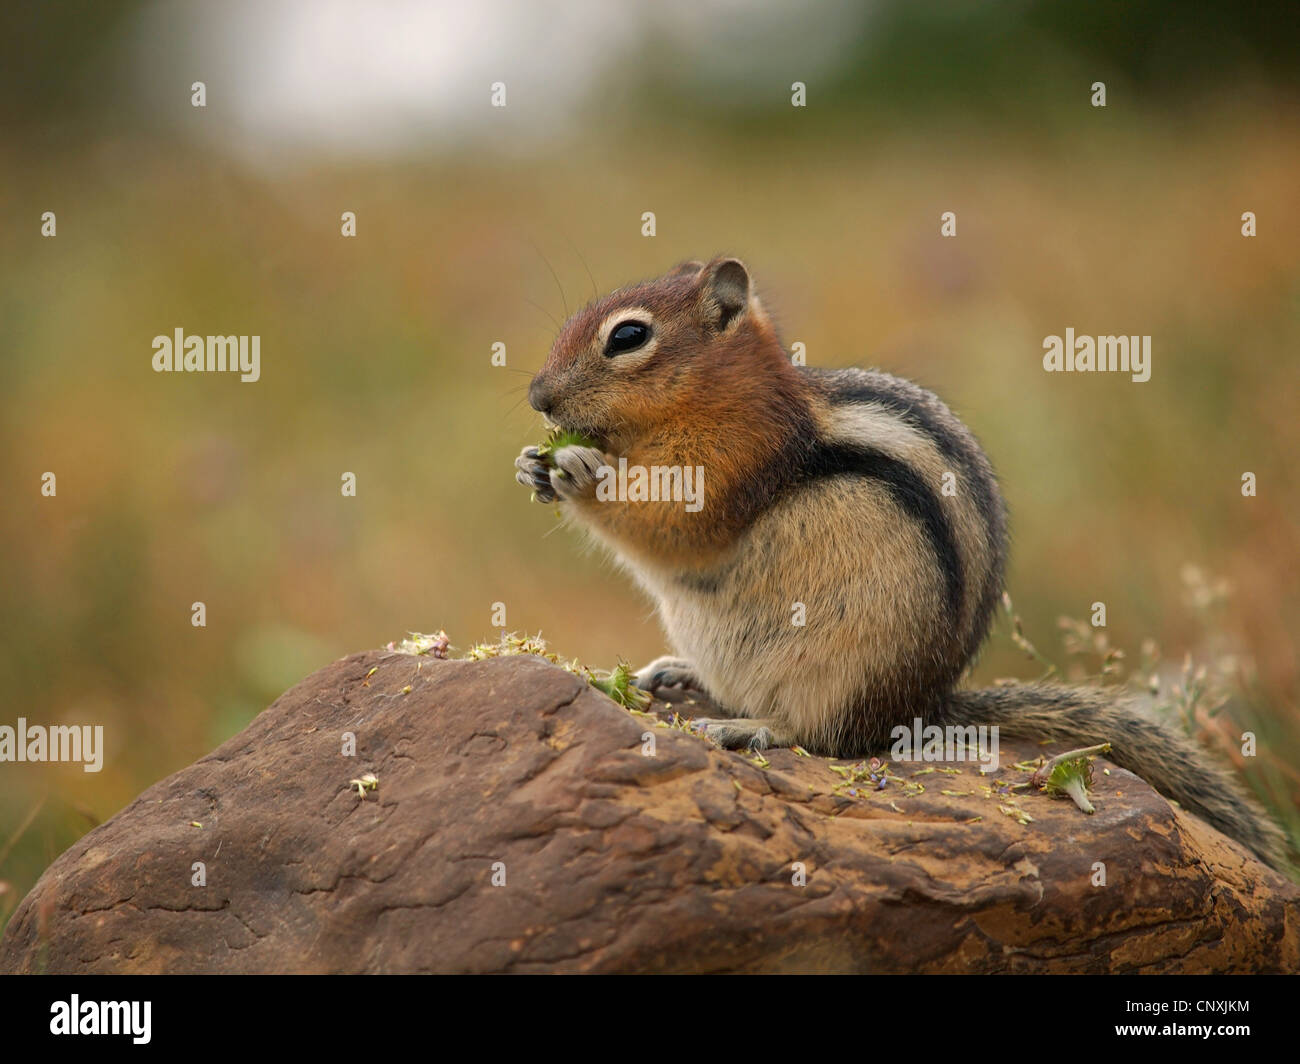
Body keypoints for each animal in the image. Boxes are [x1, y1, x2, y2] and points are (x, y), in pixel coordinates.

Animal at [512, 261, 1284, 868]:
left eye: (628, 337)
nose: (537, 397)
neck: (714, 399)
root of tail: (922, 704)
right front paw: (532, 463)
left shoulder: (733, 463)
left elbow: (672, 526)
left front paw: (578, 470)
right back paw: (682, 674)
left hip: (842, 673)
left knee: (830, 739)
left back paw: (750, 728)